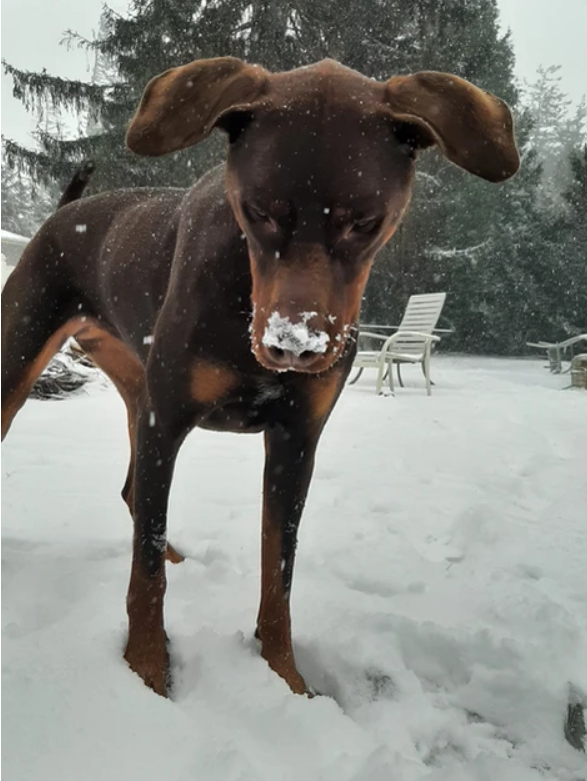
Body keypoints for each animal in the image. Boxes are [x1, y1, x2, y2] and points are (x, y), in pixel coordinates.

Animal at [3, 58, 520, 696]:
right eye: (259, 211)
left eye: (365, 222)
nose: (294, 346)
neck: (240, 286)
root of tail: (61, 215)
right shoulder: (166, 421)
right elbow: (144, 573)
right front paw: (147, 671)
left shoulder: (296, 442)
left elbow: (280, 574)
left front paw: (286, 678)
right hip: (26, 361)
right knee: (137, 501)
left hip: (132, 383)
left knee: (135, 492)